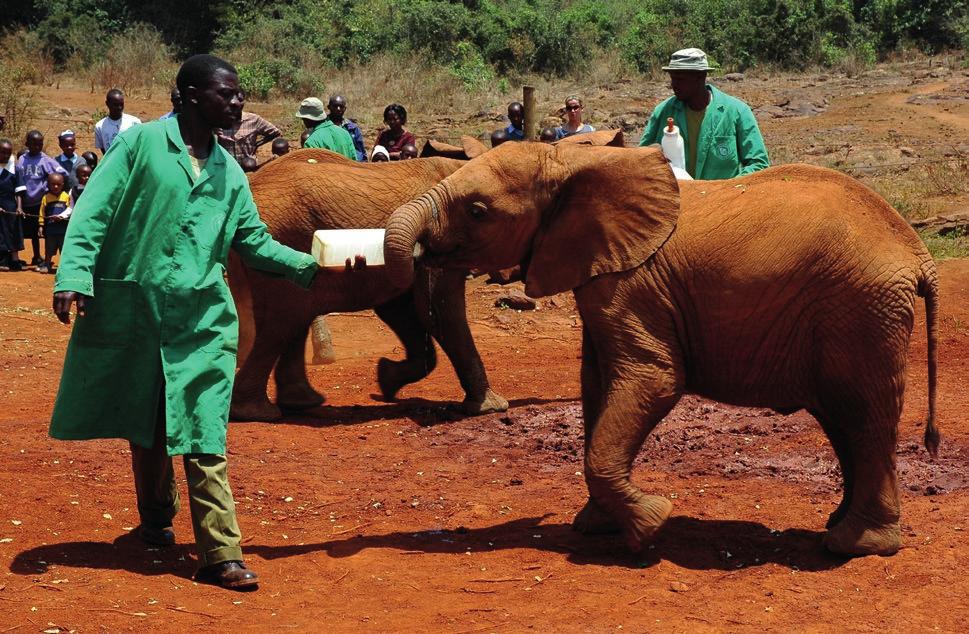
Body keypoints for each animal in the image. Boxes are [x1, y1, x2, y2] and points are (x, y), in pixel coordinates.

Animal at [384, 142, 936, 552]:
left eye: (478, 211)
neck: (573, 160)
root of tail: (917, 252)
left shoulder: (633, 283)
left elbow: (652, 378)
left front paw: (652, 522)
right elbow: (596, 384)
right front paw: (596, 526)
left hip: (861, 308)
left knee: (862, 414)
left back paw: (855, 545)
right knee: (843, 418)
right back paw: (839, 525)